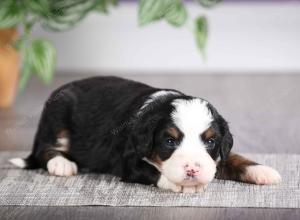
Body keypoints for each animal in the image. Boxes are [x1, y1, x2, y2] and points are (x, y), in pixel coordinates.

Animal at [9, 76, 282, 193]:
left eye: (210, 141)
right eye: (170, 141)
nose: (192, 169)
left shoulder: (216, 155)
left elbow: (231, 157)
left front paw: (262, 170)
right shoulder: (128, 161)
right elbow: (154, 171)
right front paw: (179, 183)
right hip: (58, 116)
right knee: (44, 149)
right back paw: (62, 164)